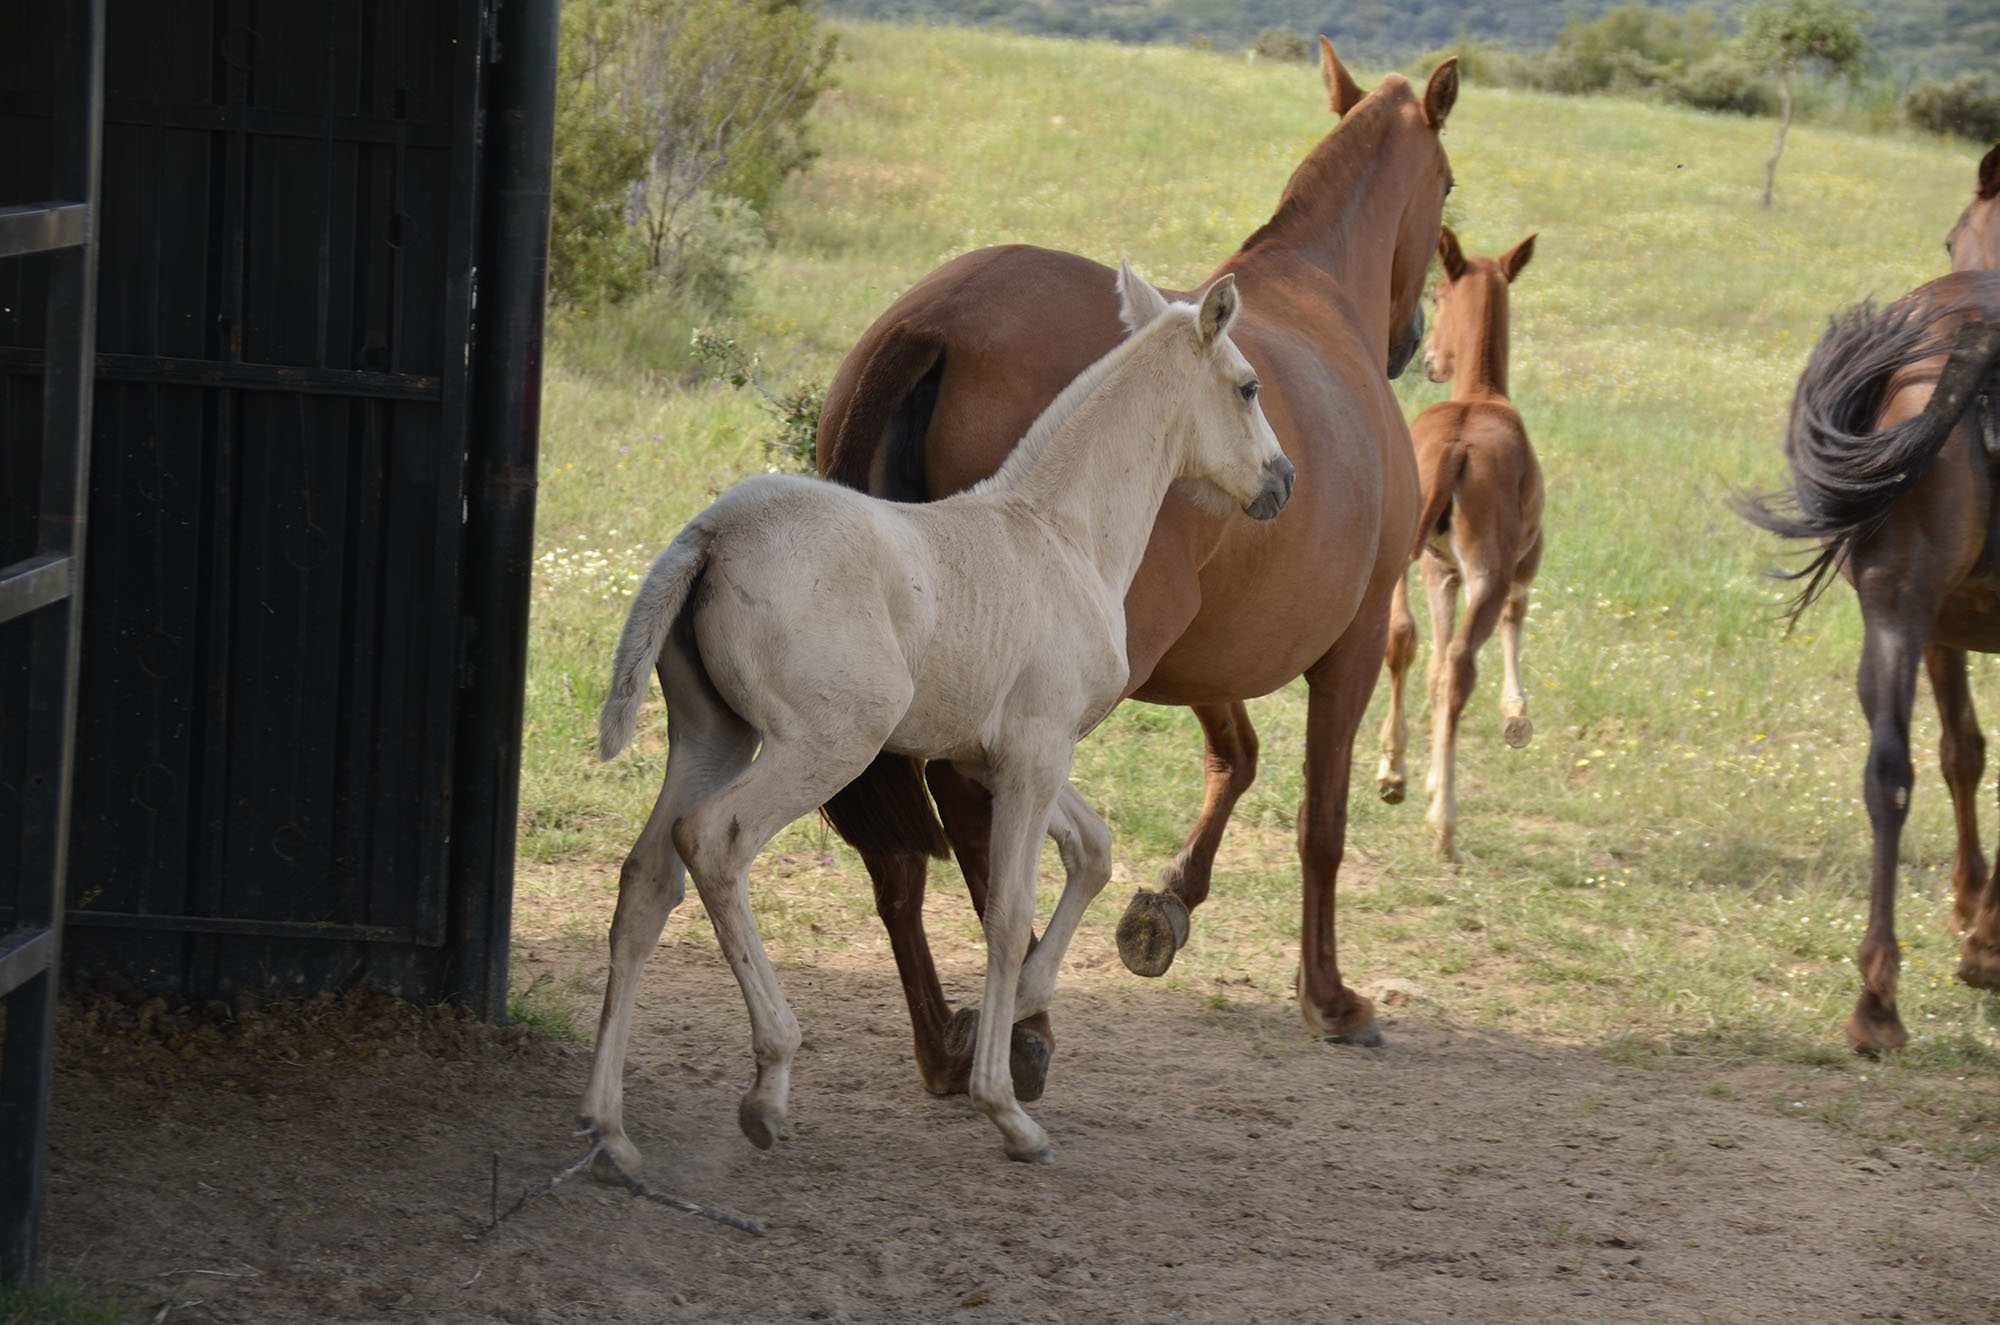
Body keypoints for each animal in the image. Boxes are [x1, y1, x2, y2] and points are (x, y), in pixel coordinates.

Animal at [580, 262, 1296, 1176]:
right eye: (1246, 386)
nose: (1282, 481)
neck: (1062, 534)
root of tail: (711, 532)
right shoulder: (1033, 753)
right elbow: (1009, 910)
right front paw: (1006, 1107)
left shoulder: (998, 755)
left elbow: (1093, 851)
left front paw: (1014, 1013)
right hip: (829, 742)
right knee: (713, 839)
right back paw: (768, 1083)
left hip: (713, 736)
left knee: (645, 881)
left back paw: (612, 1128)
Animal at [812, 41, 1456, 1096]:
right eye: (1447, 188)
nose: (1412, 344)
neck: (1319, 295)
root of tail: (937, 319)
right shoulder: (1354, 640)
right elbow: (1322, 820)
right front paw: (1329, 998)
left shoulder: (1200, 653)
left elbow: (1236, 756)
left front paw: (1169, 906)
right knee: (979, 810)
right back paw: (1019, 1022)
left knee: (902, 846)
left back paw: (945, 1039)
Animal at [1376, 223, 1544, 868]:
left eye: (1439, 295)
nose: (1427, 359)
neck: (1485, 393)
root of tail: (1457, 447)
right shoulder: (1522, 561)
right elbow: (1517, 615)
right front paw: (1516, 715)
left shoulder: (1439, 570)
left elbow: (1424, 661)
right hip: (1485, 573)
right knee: (1459, 665)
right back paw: (1444, 823)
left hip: (1405, 558)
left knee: (1404, 640)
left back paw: (1393, 773)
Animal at [1736, 272, 2000, 1056]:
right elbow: (1965, 753)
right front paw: (1977, 924)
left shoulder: (1938, 627)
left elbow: (1957, 753)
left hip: (1893, 611)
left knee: (1887, 771)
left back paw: (1877, 1003)